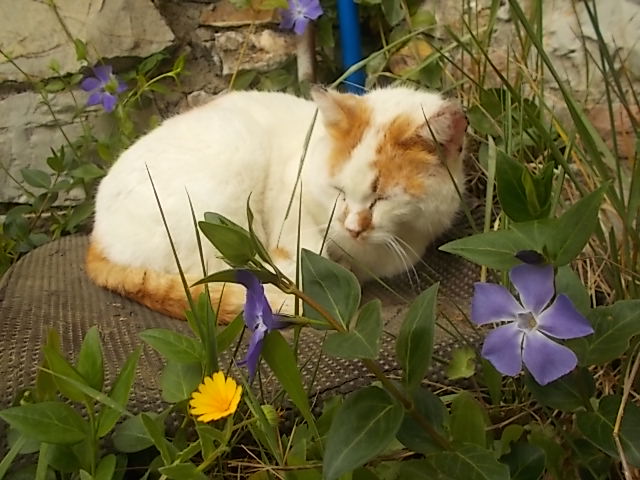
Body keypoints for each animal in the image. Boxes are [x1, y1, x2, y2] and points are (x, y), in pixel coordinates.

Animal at [86, 86, 467, 323]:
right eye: (339, 190)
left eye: (382, 198)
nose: (352, 227)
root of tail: (96, 235)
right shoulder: (291, 203)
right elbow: (308, 262)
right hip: (233, 164)